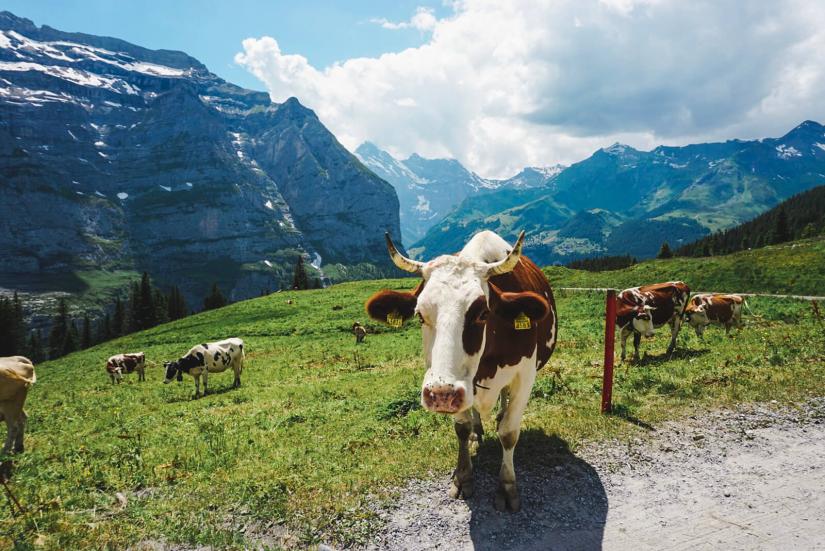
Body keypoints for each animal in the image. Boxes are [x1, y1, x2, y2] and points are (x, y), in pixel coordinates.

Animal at [366, 230, 552, 512]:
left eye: (483, 313)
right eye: (420, 315)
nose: (441, 394)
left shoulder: (525, 376)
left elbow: (509, 432)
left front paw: (507, 486)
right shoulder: (462, 388)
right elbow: (461, 429)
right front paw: (463, 477)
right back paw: (478, 430)